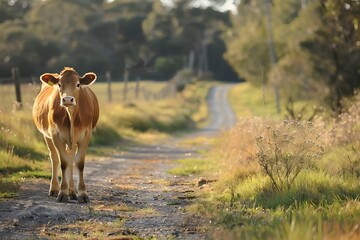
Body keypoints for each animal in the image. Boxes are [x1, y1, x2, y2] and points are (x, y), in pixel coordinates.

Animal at [32, 67, 99, 202]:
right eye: (59, 85)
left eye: (78, 84)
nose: (67, 99)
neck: (71, 115)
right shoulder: (56, 135)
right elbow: (63, 163)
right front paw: (62, 192)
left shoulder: (86, 135)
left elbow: (79, 163)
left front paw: (82, 193)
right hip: (47, 136)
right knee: (54, 158)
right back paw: (55, 189)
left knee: (71, 158)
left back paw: (72, 191)